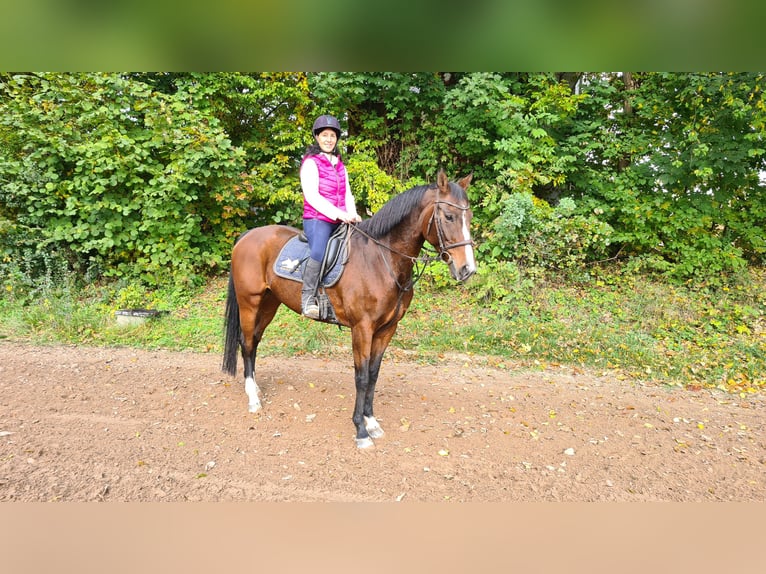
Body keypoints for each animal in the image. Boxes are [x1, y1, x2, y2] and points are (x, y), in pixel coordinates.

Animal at [219, 170, 476, 450]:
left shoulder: (387, 329)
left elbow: (373, 375)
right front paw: (361, 430)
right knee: (246, 343)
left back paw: (255, 388)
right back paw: (253, 398)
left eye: (469, 216)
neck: (382, 260)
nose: (467, 269)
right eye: (449, 216)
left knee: (255, 341)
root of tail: (247, 235)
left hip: (269, 304)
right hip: (250, 302)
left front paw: (371, 422)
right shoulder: (362, 328)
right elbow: (361, 377)